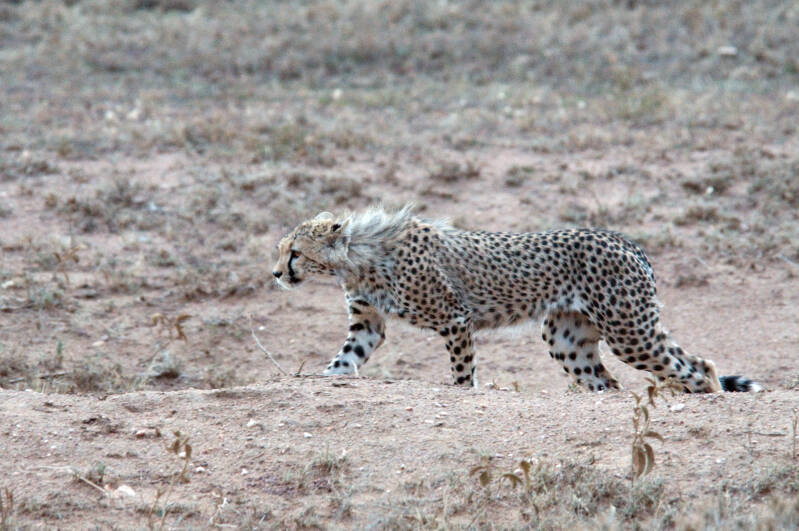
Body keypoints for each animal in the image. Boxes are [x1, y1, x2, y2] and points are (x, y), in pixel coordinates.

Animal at [272, 205, 762, 393]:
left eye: (294, 252)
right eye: (282, 250)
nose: (276, 273)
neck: (358, 256)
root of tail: (624, 240)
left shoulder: (455, 319)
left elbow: (462, 372)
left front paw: (462, 391)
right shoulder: (367, 323)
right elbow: (344, 360)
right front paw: (324, 378)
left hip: (628, 332)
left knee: (698, 367)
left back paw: (703, 394)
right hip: (566, 338)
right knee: (609, 382)